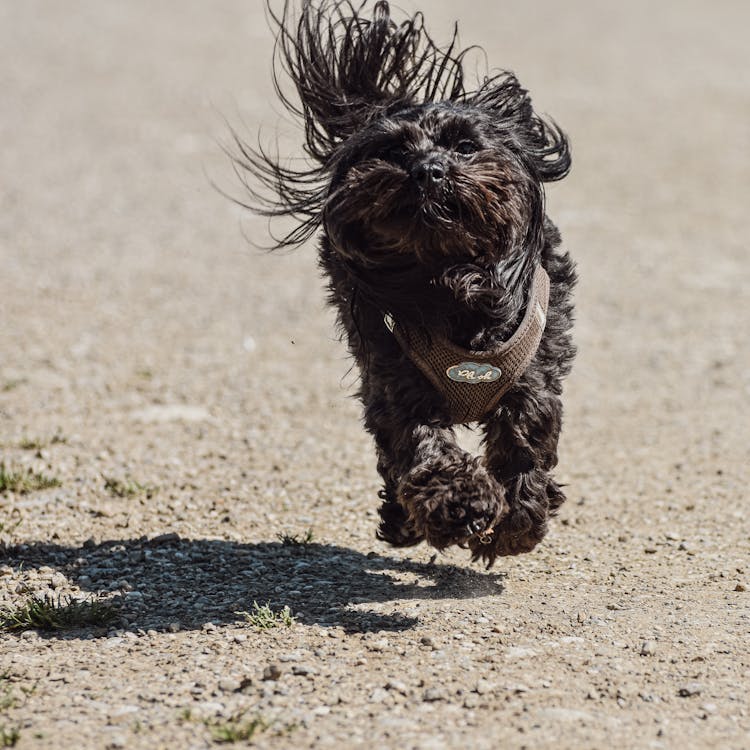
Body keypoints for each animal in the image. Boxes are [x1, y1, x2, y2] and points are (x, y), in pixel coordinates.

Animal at [232, 0, 580, 564]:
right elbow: (421, 445)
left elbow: (526, 440)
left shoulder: (533, 376)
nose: (429, 170)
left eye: (465, 146)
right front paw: (459, 504)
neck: (447, 277)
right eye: (396, 152)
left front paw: (517, 520)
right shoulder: (396, 380)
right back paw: (403, 520)